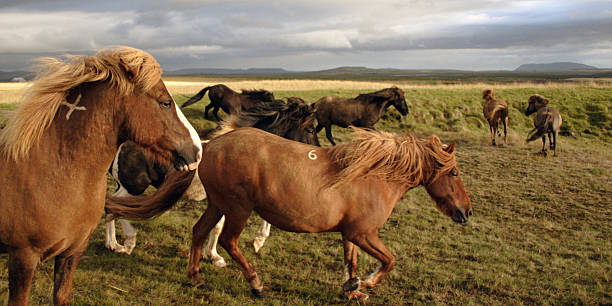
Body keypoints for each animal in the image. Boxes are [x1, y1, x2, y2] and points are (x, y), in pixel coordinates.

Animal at [104, 98, 318, 266]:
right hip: (133, 186)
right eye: (309, 129)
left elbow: (217, 226)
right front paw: (257, 242)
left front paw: (214, 256)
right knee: (114, 206)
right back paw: (127, 243)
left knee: (109, 205)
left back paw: (112, 244)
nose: (316, 154)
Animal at [186, 127, 468, 302]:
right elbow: (389, 261)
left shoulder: (351, 234)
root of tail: (211, 146)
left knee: (199, 232)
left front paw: (352, 291)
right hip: (237, 209)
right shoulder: (363, 233)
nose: (466, 212)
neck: (375, 177)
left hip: (217, 205)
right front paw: (363, 284)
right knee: (228, 241)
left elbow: (351, 262)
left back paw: (195, 278)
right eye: (454, 173)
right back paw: (256, 285)